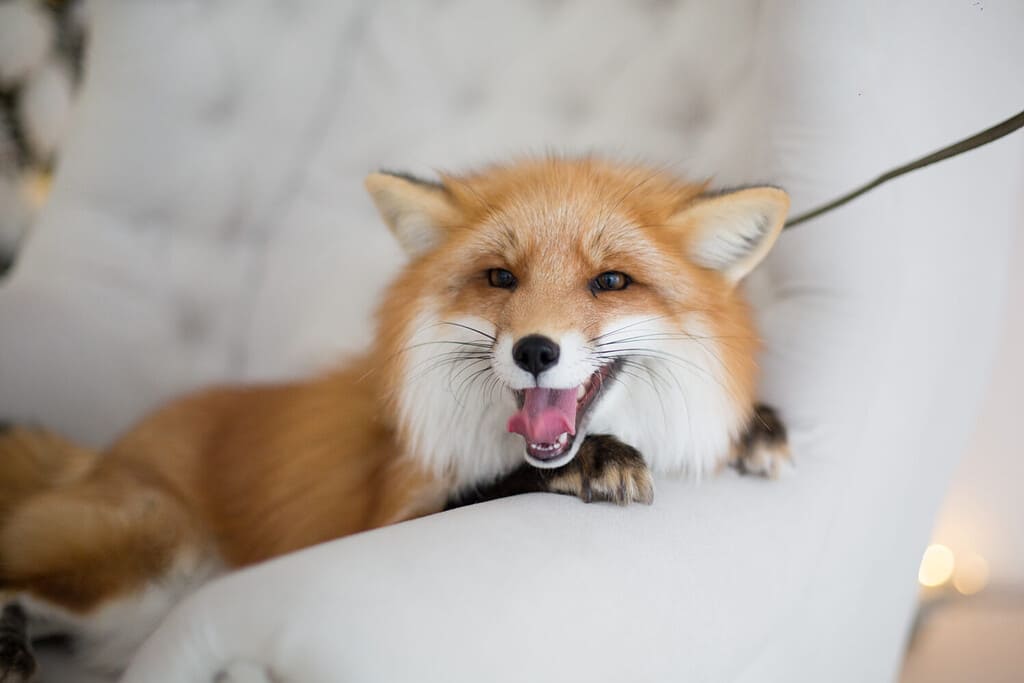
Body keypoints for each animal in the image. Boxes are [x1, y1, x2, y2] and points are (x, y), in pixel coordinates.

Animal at [0, 157, 790, 679]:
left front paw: (754, 427)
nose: (535, 350)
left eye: (611, 281)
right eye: (501, 277)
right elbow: (493, 486)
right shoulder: (395, 512)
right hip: (141, 552)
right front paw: (593, 460)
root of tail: (102, 451)